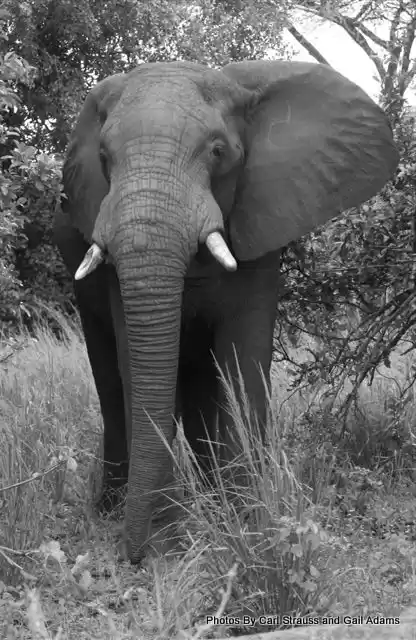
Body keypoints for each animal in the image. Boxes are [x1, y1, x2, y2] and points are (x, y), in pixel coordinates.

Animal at [53, 59, 398, 564]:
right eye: (103, 156)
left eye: (218, 151)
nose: (133, 555)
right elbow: (135, 368)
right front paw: (173, 537)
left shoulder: (262, 219)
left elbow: (242, 362)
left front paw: (246, 526)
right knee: (112, 385)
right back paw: (112, 507)